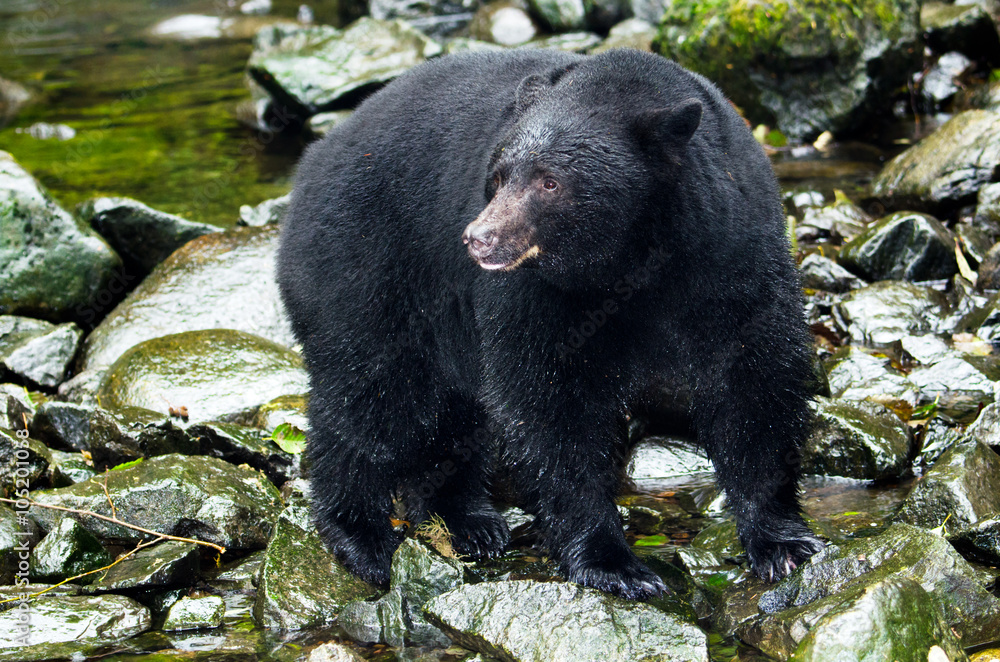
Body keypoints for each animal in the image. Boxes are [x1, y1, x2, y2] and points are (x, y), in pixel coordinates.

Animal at [277, 47, 824, 600]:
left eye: (550, 181)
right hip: (363, 265)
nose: (478, 238)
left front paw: (780, 542)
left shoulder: (729, 252)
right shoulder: (539, 294)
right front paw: (612, 562)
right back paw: (359, 534)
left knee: (447, 411)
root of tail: (315, 158)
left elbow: (752, 379)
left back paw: (468, 521)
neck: (630, 259)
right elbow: (550, 401)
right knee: (369, 397)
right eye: (498, 177)